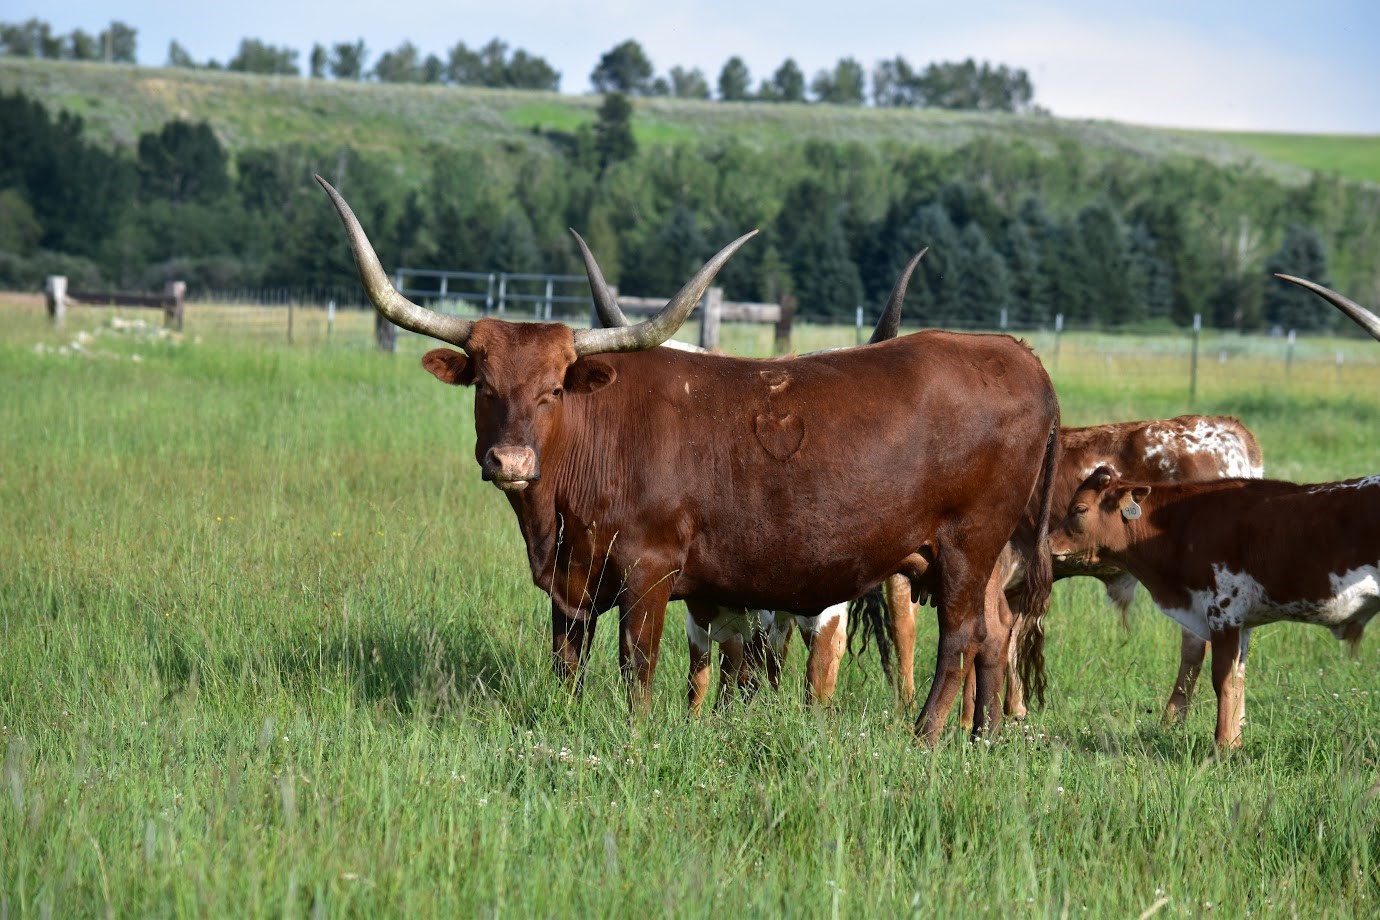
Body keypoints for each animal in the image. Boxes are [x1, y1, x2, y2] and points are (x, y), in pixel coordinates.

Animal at [317, 174, 1060, 740]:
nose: (511, 461)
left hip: (966, 543)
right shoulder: (572, 589)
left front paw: (637, 733)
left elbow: (638, 668)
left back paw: (927, 736)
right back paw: (982, 735)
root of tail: (1015, 353)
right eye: (485, 386)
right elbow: (568, 667)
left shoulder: (648, 573)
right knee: (995, 631)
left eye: (555, 389)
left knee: (960, 635)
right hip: (981, 554)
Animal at [1048, 466, 1378, 748]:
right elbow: (1238, 678)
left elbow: (1222, 678)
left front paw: (1223, 746)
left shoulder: (1223, 612)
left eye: (1079, 509)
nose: (1048, 541)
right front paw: (1236, 741)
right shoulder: (1243, 623)